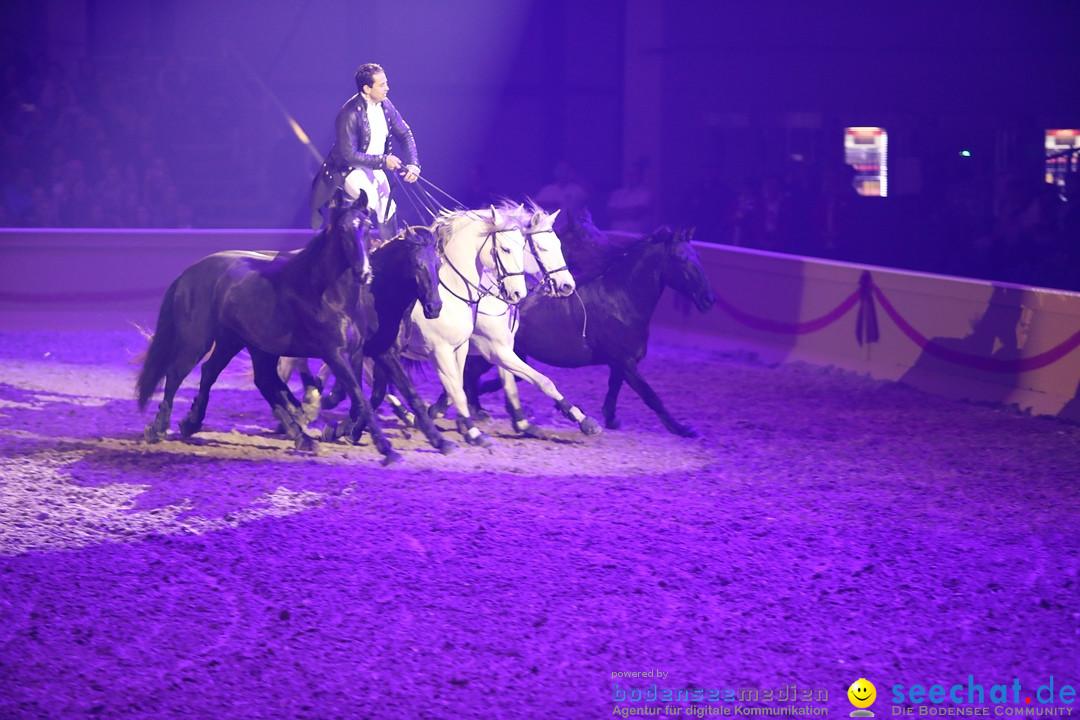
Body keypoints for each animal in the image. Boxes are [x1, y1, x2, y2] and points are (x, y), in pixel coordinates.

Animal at [135, 198, 406, 462]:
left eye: (367, 226)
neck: (331, 297)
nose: (364, 273)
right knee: (176, 374)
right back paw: (158, 429)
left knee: (223, 373)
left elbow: (359, 400)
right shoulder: (335, 354)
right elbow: (359, 398)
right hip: (197, 340)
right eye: (342, 229)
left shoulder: (356, 353)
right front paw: (386, 450)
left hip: (235, 341)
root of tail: (187, 273)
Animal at [438, 213, 717, 436]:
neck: (621, 299)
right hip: (491, 352)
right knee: (470, 374)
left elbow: (614, 388)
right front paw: (683, 429)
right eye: (680, 258)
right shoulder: (627, 363)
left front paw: (610, 419)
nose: (709, 299)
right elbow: (652, 397)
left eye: (698, 255)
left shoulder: (620, 363)